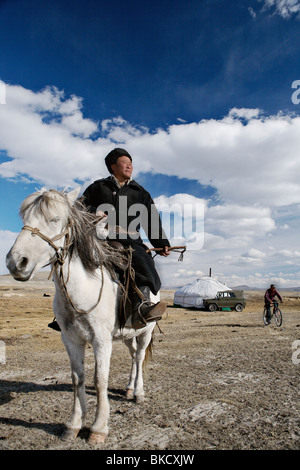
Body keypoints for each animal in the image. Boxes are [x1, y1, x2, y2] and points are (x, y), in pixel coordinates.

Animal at [5, 187, 158, 444]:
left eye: (54, 219)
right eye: (25, 219)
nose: (16, 262)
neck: (83, 289)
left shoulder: (101, 340)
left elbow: (100, 380)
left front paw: (98, 428)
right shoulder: (70, 339)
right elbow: (78, 378)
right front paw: (74, 425)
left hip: (145, 331)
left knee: (139, 358)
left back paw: (138, 392)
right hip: (127, 335)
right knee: (133, 356)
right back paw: (128, 388)